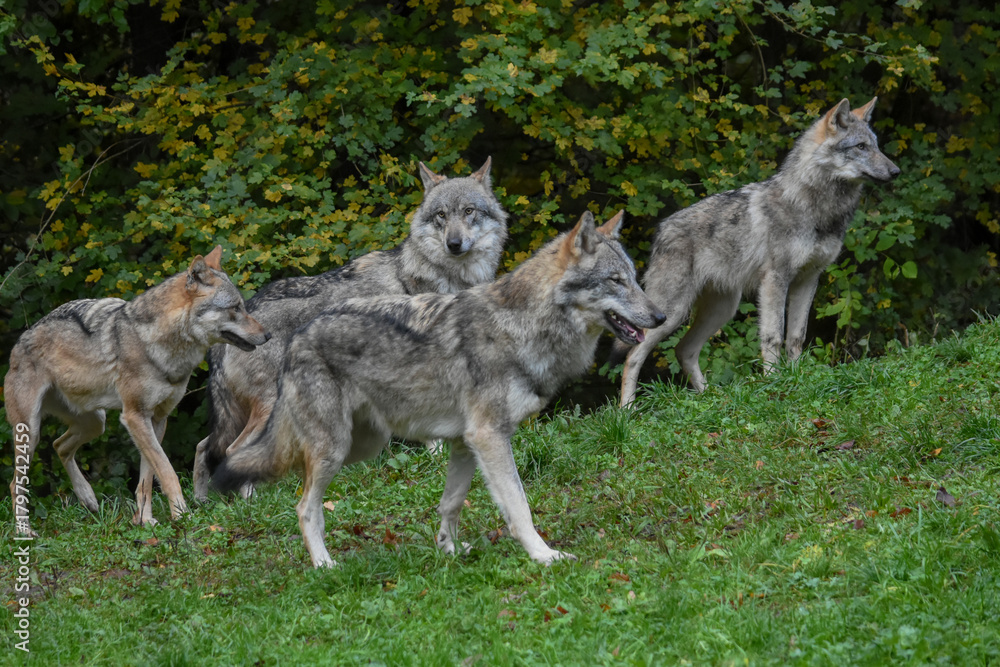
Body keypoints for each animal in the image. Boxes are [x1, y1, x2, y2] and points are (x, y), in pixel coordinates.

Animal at [4, 246, 270, 535]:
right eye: (235, 308)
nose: (268, 335)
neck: (161, 345)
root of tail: (19, 341)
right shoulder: (134, 416)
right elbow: (166, 471)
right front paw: (182, 515)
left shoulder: (156, 420)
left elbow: (146, 478)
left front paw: (144, 520)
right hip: (31, 432)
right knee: (15, 482)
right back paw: (23, 530)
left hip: (95, 422)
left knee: (59, 446)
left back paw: (87, 497)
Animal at [192, 159, 507, 501]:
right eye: (441, 215)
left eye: (468, 211)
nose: (454, 243)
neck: (448, 275)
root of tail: (227, 330)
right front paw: (436, 458)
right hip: (271, 407)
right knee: (233, 451)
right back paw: (251, 502)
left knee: (204, 447)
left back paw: (196, 505)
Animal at [212, 210, 665, 567]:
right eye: (615, 280)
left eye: (634, 278)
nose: (660, 316)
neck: (524, 325)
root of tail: (297, 337)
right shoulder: (490, 437)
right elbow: (519, 506)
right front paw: (544, 555)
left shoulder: (465, 442)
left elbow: (451, 502)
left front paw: (449, 550)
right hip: (334, 450)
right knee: (304, 505)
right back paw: (324, 565)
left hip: (362, 446)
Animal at [618, 97, 900, 406]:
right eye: (860, 146)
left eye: (876, 145)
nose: (896, 172)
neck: (815, 209)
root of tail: (661, 229)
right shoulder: (775, 280)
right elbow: (773, 336)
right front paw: (774, 383)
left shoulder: (808, 280)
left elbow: (796, 336)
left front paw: (799, 379)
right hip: (671, 313)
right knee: (633, 356)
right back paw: (627, 410)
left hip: (722, 310)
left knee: (683, 350)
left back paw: (711, 398)